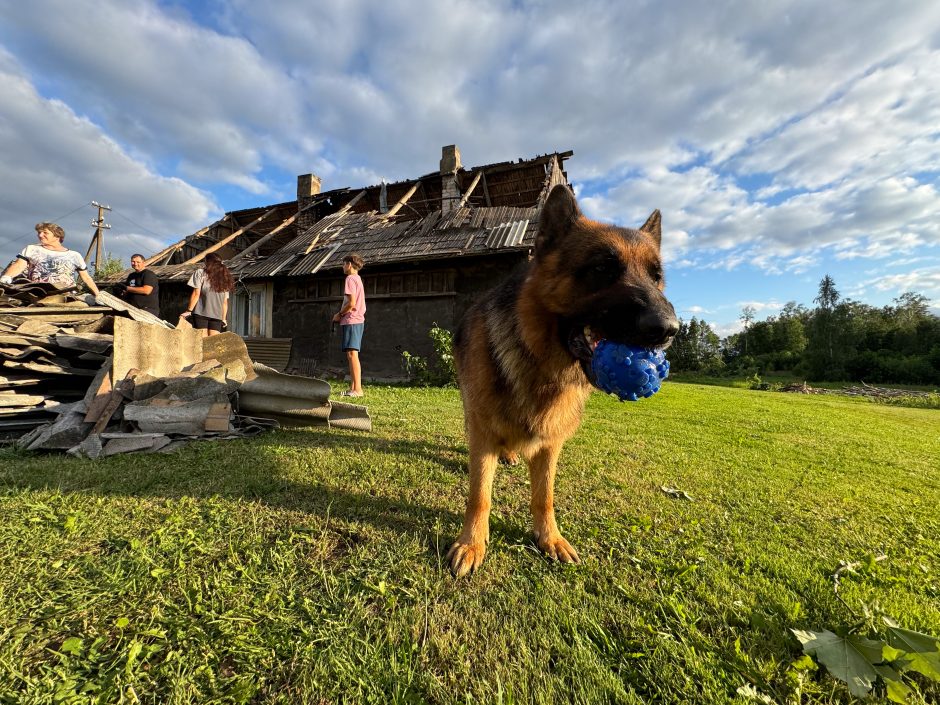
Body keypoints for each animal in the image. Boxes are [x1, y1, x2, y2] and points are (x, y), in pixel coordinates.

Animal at [448, 184, 676, 576]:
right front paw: (471, 543)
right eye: (602, 269)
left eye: (656, 277)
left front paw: (549, 538)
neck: (541, 365)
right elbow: (479, 495)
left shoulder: (551, 443)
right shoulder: (483, 428)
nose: (668, 329)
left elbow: (545, 496)